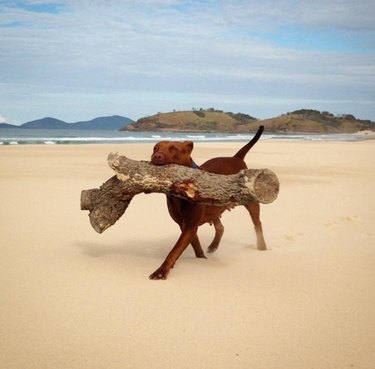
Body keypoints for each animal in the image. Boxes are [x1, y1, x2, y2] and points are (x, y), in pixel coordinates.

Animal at [150, 126, 268, 278]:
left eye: (174, 148)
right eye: (155, 148)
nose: (156, 156)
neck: (179, 193)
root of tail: (236, 158)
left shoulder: (190, 225)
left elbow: (175, 250)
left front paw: (161, 271)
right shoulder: (185, 226)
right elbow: (195, 244)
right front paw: (201, 258)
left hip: (251, 203)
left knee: (257, 224)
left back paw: (262, 246)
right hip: (214, 208)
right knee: (220, 227)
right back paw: (213, 246)